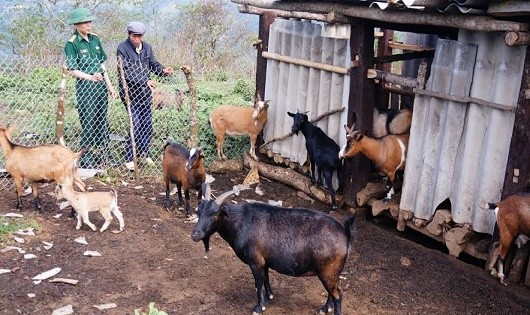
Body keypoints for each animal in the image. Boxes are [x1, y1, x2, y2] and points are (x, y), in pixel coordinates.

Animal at [190, 190, 354, 315]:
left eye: (215, 214)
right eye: (198, 211)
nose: (195, 235)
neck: (241, 221)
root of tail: (345, 234)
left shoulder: (255, 261)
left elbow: (258, 283)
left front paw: (258, 307)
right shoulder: (265, 261)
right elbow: (266, 279)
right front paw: (269, 298)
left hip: (328, 271)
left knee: (338, 295)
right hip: (331, 273)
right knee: (333, 291)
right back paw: (325, 308)